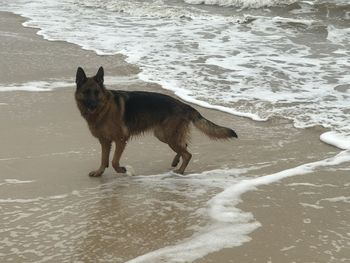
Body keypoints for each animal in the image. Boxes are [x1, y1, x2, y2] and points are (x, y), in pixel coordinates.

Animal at [75, 67, 237, 176]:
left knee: (188, 154)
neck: (104, 109)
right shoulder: (105, 141)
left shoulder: (121, 139)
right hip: (163, 135)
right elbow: (103, 159)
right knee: (184, 146)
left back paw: (180, 171)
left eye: (97, 93)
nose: (92, 106)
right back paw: (176, 162)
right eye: (86, 92)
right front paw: (99, 172)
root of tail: (184, 105)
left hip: (168, 136)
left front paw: (121, 170)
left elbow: (114, 161)